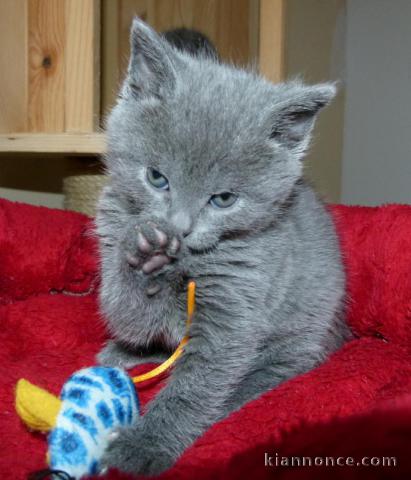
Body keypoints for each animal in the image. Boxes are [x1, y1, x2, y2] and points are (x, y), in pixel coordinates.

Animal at [96, 17, 350, 476]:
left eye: (224, 199)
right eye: (157, 178)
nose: (179, 227)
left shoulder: (237, 305)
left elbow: (199, 383)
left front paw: (144, 446)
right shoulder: (110, 233)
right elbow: (128, 314)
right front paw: (144, 254)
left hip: (302, 327)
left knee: (280, 367)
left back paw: (240, 393)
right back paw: (122, 353)